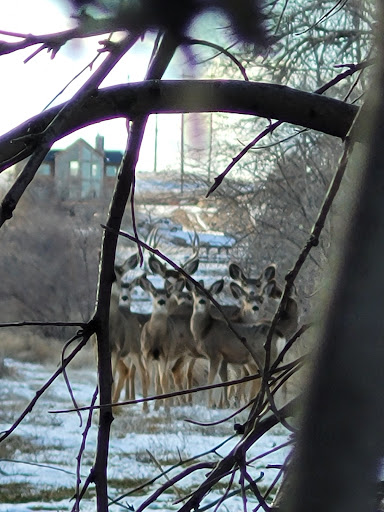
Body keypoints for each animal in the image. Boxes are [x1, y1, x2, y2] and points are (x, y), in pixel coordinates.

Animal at [188, 280, 284, 408]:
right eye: (195, 293)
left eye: (208, 294)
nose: (201, 301)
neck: (205, 330)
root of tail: (279, 334)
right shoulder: (223, 358)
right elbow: (224, 379)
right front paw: (224, 404)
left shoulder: (215, 353)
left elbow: (211, 379)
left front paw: (211, 404)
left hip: (263, 357)